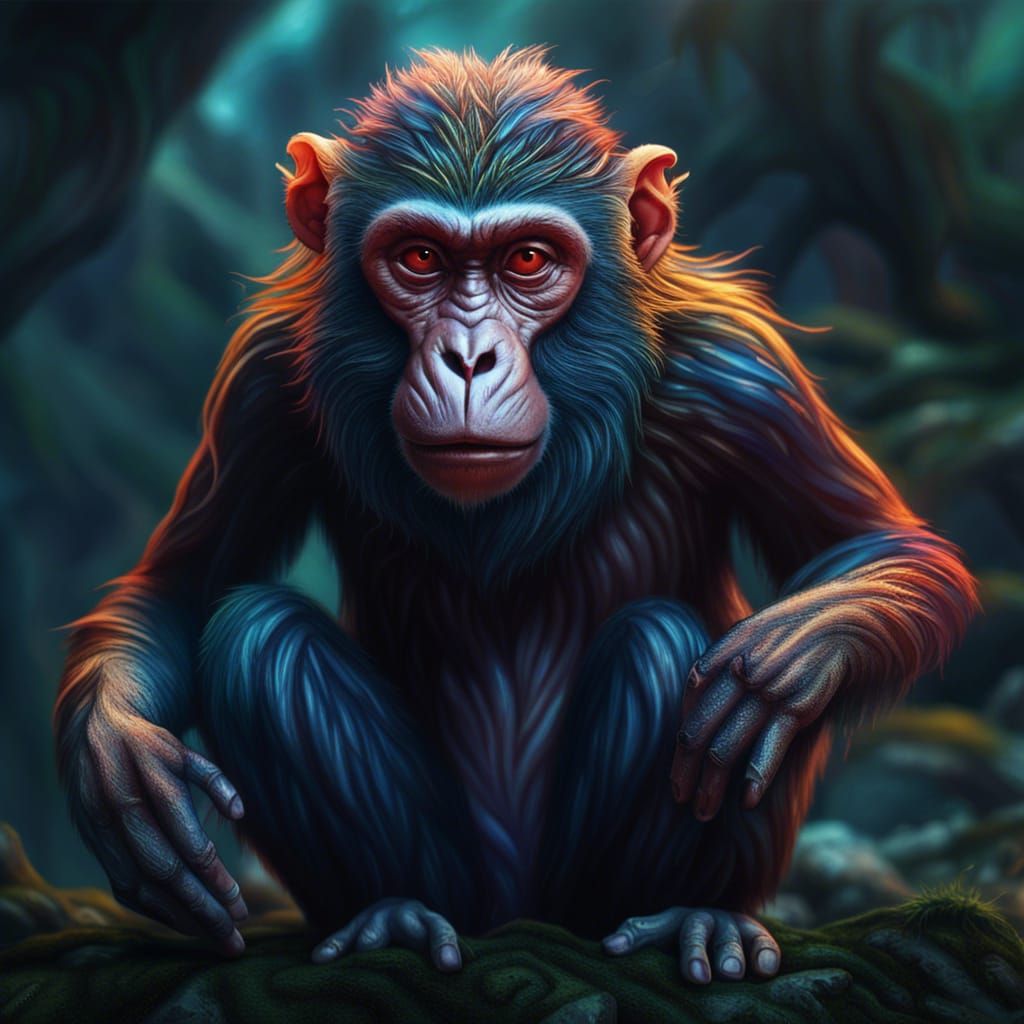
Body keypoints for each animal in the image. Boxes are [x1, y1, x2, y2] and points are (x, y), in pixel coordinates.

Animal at [53, 47, 977, 984]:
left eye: (528, 260)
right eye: (420, 257)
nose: (469, 356)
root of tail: (513, 919)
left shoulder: (741, 370)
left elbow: (881, 548)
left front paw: (788, 656)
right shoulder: (262, 378)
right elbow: (181, 587)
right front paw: (118, 757)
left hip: (577, 894)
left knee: (667, 649)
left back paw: (692, 912)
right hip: (465, 883)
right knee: (258, 636)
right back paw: (393, 911)